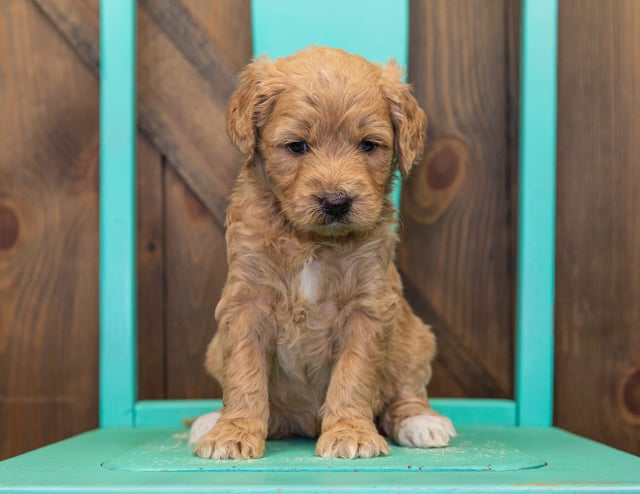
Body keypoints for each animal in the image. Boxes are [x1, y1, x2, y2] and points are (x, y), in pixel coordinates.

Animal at [190, 46, 456, 460]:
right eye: (297, 146)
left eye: (368, 145)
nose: (336, 201)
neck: (311, 241)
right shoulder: (246, 303)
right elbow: (244, 375)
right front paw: (232, 432)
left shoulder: (368, 307)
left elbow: (354, 374)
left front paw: (350, 432)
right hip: (216, 350)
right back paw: (210, 421)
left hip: (416, 340)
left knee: (404, 392)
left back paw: (422, 422)